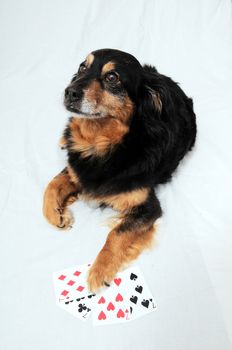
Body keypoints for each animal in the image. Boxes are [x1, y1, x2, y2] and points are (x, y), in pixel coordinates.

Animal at [42, 47, 197, 292]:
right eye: (82, 67)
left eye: (112, 77)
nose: (69, 92)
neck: (103, 145)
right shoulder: (78, 169)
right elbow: (52, 185)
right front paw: (56, 215)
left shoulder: (147, 207)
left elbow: (116, 233)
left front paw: (99, 270)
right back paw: (64, 138)